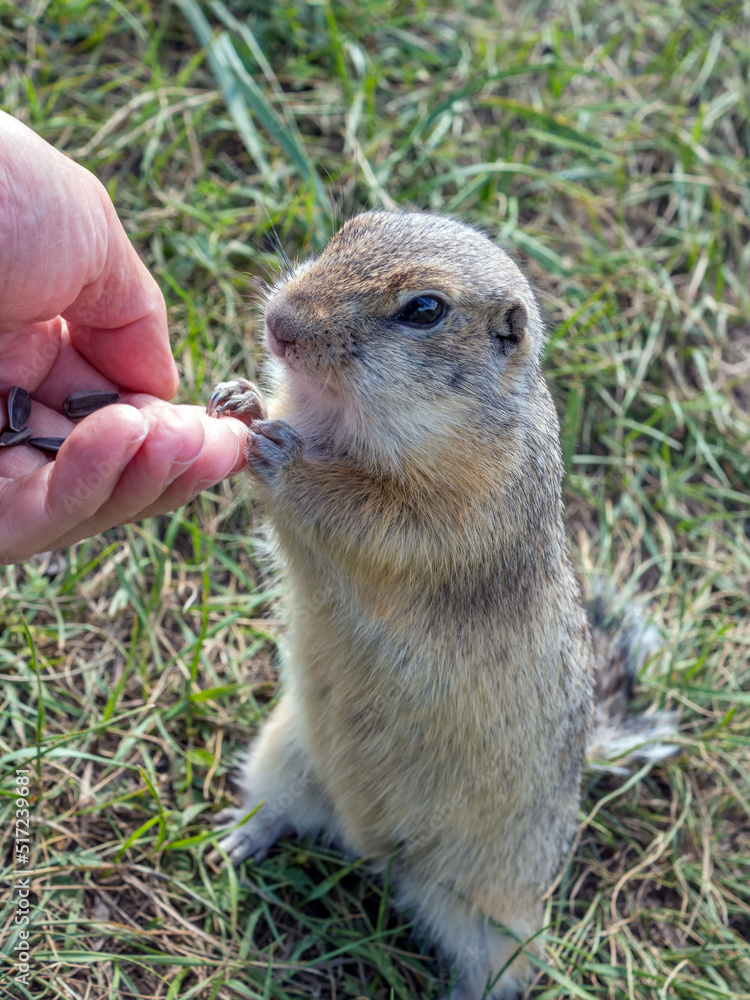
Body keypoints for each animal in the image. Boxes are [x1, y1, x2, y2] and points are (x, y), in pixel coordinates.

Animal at [209, 207, 680, 996]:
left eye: (424, 310)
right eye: (350, 228)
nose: (279, 323)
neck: (348, 416)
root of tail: (374, 847)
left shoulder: (461, 512)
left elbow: (375, 520)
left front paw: (287, 460)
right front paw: (240, 399)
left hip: (493, 915)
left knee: (494, 969)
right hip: (283, 753)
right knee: (282, 810)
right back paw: (238, 840)